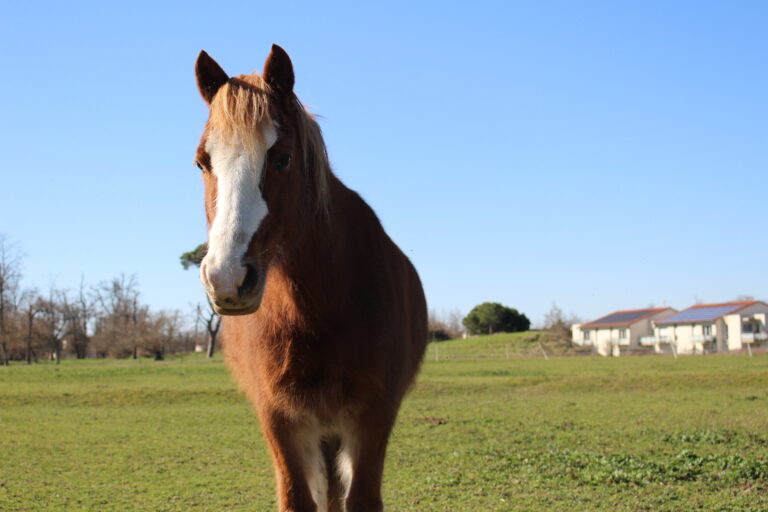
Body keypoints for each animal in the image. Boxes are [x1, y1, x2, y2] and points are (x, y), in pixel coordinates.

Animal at [192, 45, 428, 512]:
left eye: (282, 157)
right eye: (202, 162)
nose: (227, 277)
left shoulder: (372, 417)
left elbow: (361, 499)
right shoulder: (279, 419)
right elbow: (298, 498)